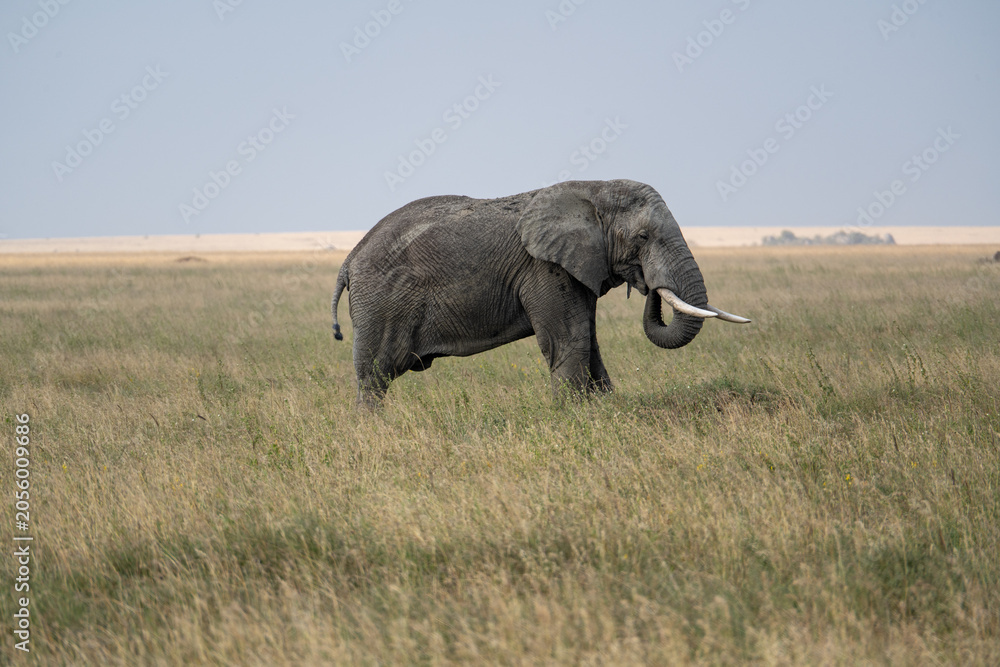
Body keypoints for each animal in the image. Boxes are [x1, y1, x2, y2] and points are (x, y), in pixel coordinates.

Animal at [331, 179, 749, 408]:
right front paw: (574, 415)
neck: (593, 190)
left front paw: (604, 407)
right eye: (643, 237)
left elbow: (589, 339)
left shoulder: (577, 267)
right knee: (374, 376)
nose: (648, 284)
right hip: (380, 302)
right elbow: (569, 339)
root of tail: (348, 261)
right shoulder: (543, 267)